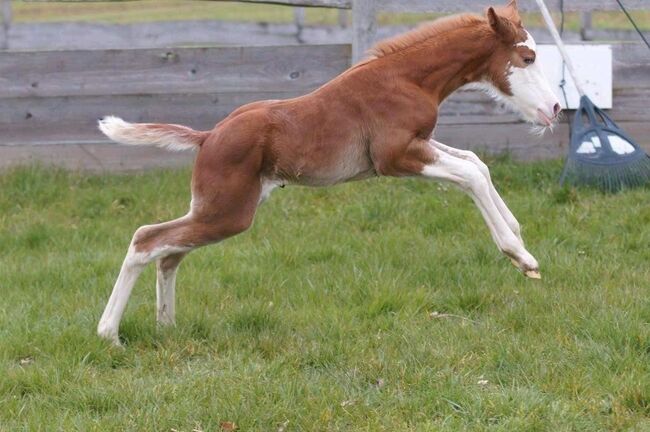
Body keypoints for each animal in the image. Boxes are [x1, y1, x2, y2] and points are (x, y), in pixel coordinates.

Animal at [96, 0, 556, 344]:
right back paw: (109, 334)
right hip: (227, 212)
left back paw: (166, 326)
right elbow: (470, 174)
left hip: (216, 210)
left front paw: (518, 235)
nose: (553, 108)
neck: (407, 78)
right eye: (528, 57)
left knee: (169, 252)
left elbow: (476, 162)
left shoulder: (421, 142)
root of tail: (208, 136)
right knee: (147, 239)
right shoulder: (396, 157)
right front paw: (522, 256)